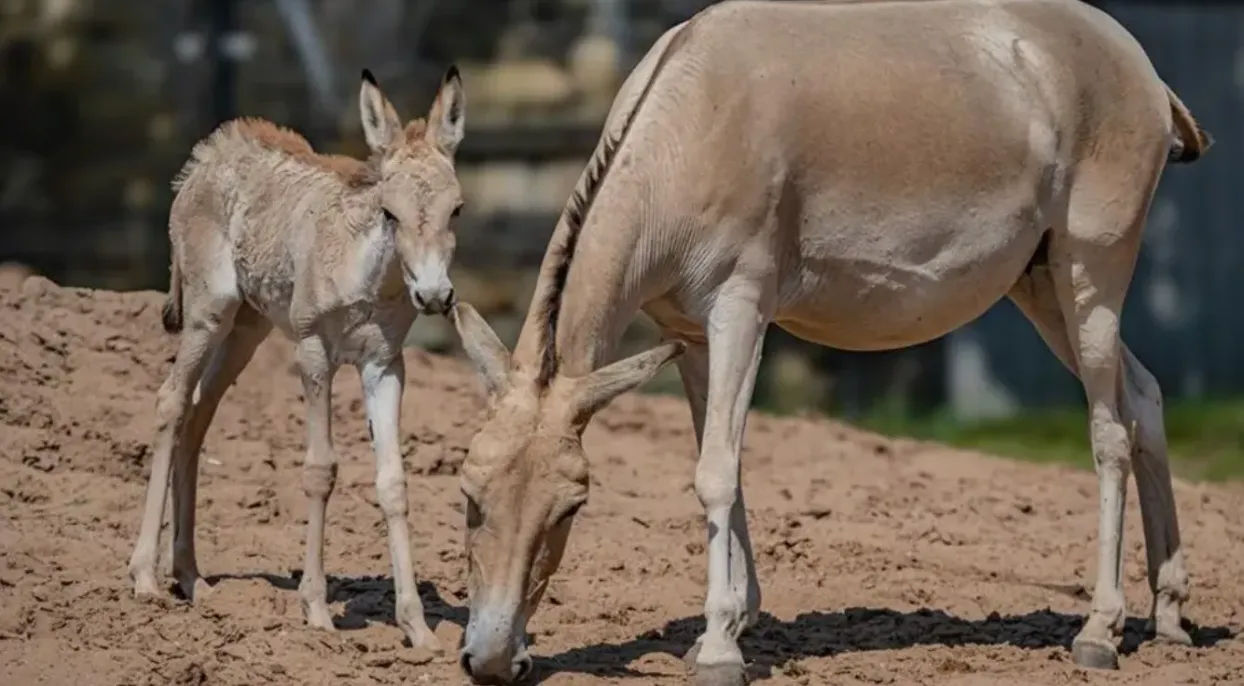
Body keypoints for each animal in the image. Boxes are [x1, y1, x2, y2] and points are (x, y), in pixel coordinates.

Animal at [126, 67, 467, 652]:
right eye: (390, 212)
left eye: (457, 210)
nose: (434, 296)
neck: (369, 276)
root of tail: (209, 153)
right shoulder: (314, 354)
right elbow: (319, 469)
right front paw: (316, 609)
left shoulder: (384, 366)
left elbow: (394, 483)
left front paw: (417, 627)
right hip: (208, 315)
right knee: (171, 401)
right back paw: (146, 576)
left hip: (247, 330)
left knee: (198, 414)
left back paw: (191, 579)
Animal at [450, 2, 1214, 682]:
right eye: (468, 494)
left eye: (572, 506)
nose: (490, 661)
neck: (689, 124)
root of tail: (1136, 61)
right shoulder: (689, 334)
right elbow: (719, 463)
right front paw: (731, 622)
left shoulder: (741, 309)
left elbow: (715, 471)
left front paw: (721, 647)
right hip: (1042, 285)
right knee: (1143, 395)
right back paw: (1169, 615)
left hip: (1092, 275)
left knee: (1108, 431)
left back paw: (1099, 632)